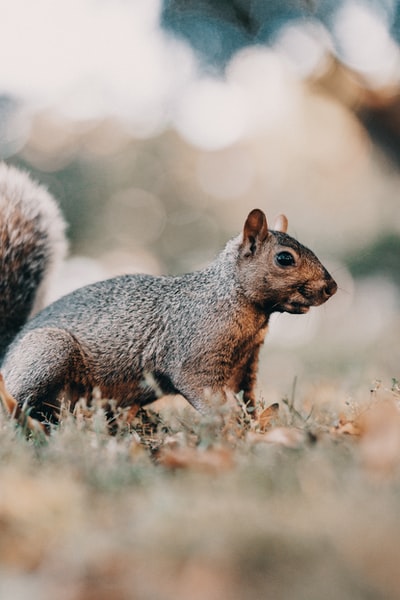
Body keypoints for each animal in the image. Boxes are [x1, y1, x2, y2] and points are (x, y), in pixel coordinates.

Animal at [0, 162, 338, 424]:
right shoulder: (194, 356)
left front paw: (254, 426)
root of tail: (6, 353)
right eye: (284, 259)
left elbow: (248, 399)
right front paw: (231, 429)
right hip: (49, 351)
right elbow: (206, 395)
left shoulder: (246, 366)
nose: (332, 287)